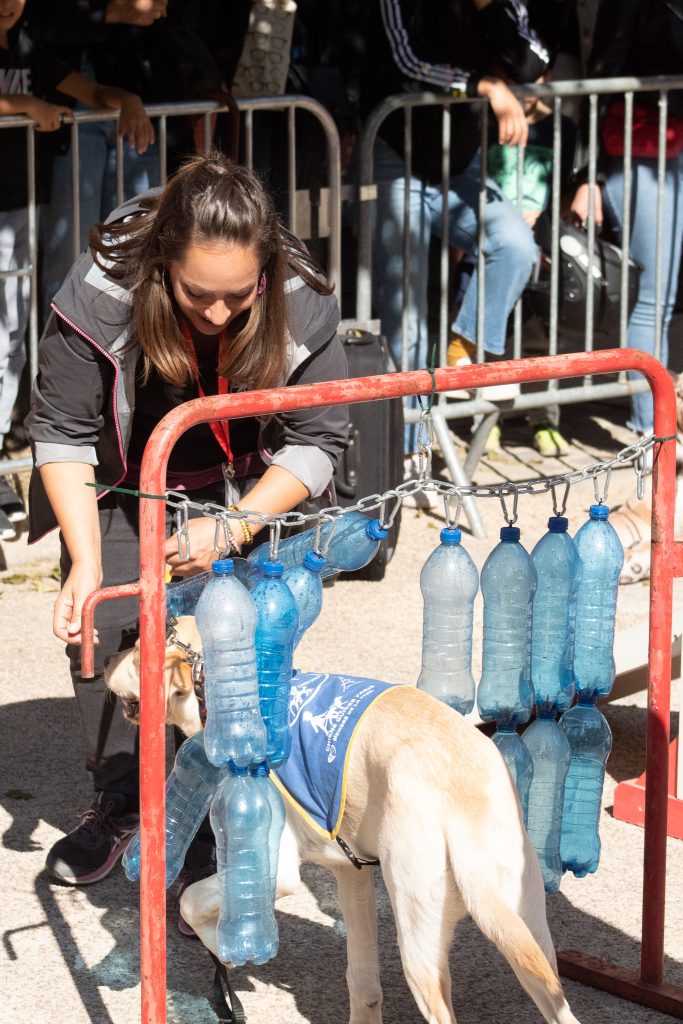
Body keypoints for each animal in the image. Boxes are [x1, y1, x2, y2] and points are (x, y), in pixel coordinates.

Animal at [107, 614, 581, 1024]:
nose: (108, 655)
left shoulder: (277, 869)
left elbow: (191, 901)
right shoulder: (351, 874)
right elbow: (363, 982)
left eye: (138, 648)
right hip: (527, 931)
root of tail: (464, 802)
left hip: (419, 942)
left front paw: (225, 949)